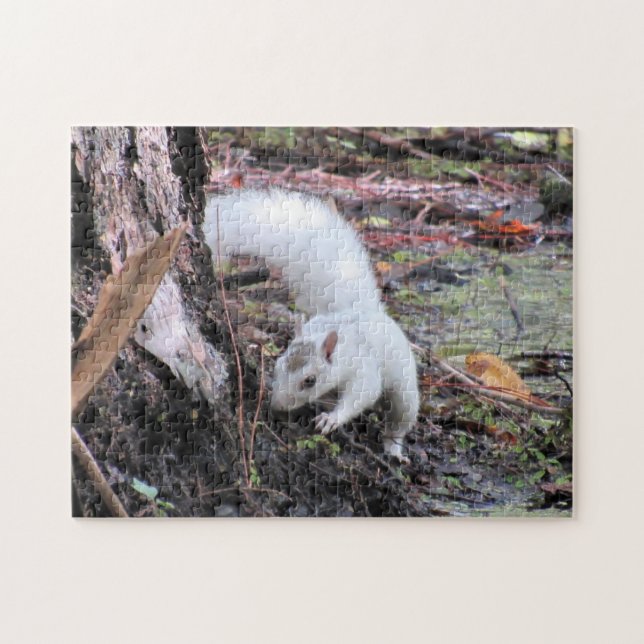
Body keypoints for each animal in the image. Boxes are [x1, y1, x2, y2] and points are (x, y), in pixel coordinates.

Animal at [203, 189, 419, 460]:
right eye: (277, 367)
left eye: (309, 381)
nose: (277, 407)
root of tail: (366, 309)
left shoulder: (364, 368)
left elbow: (362, 394)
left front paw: (332, 419)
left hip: (405, 388)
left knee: (400, 417)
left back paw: (393, 448)